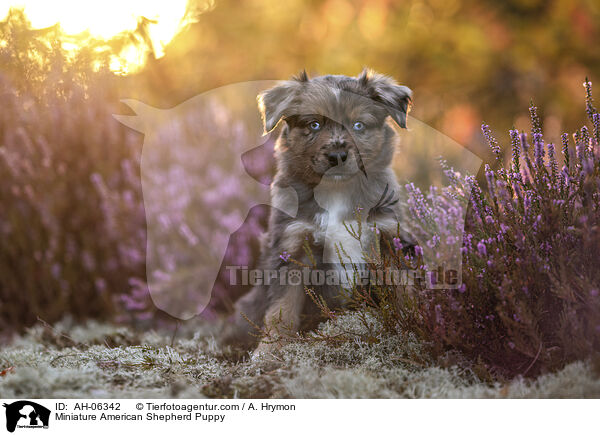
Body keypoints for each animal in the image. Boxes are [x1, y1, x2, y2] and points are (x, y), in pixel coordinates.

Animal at [223, 69, 414, 354]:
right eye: (314, 125)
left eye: (359, 125)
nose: (337, 155)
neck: (336, 191)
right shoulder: (292, 246)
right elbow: (281, 308)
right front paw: (271, 349)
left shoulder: (389, 237)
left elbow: (404, 289)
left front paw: (414, 327)